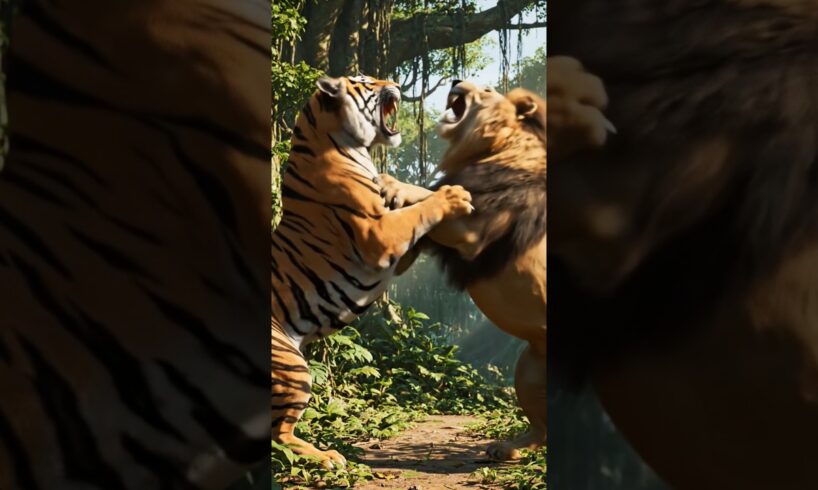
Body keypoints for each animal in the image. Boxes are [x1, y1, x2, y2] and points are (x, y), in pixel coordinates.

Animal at [271, 75, 473, 469]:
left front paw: (400, 187)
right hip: (292, 366)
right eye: (366, 82)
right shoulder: (379, 236)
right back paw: (326, 457)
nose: (395, 82)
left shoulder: (398, 250)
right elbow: (421, 210)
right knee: (278, 436)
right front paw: (453, 195)